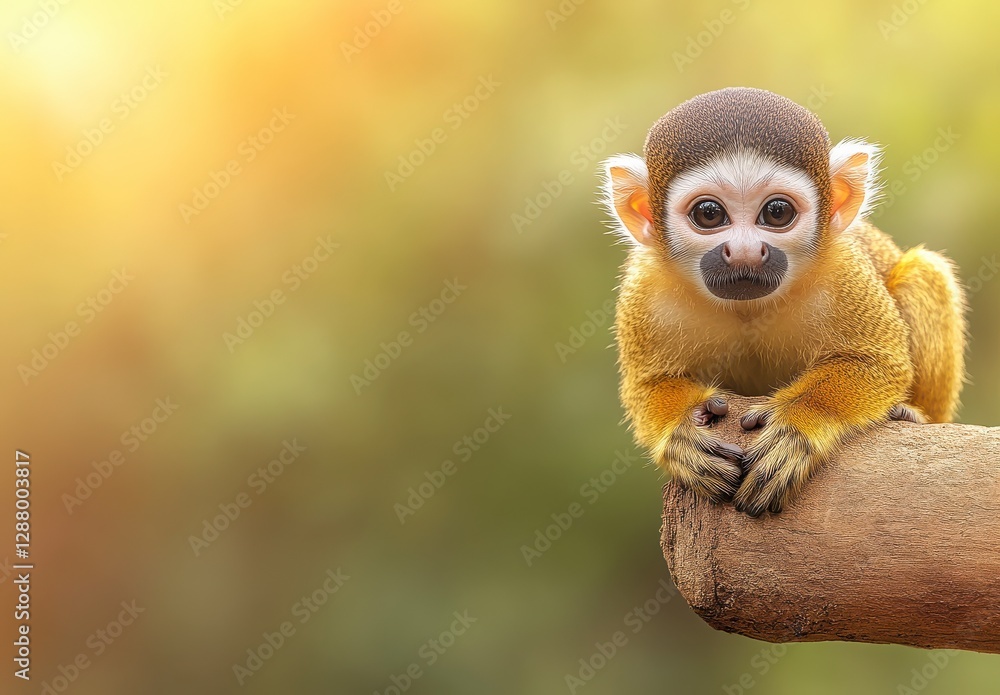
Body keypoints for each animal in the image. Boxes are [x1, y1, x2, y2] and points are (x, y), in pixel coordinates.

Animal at [601, 87, 966, 517]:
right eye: (709, 214)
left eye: (777, 212)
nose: (744, 252)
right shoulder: (645, 290)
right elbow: (646, 384)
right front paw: (681, 433)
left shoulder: (844, 271)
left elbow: (880, 363)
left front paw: (798, 423)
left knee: (923, 272)